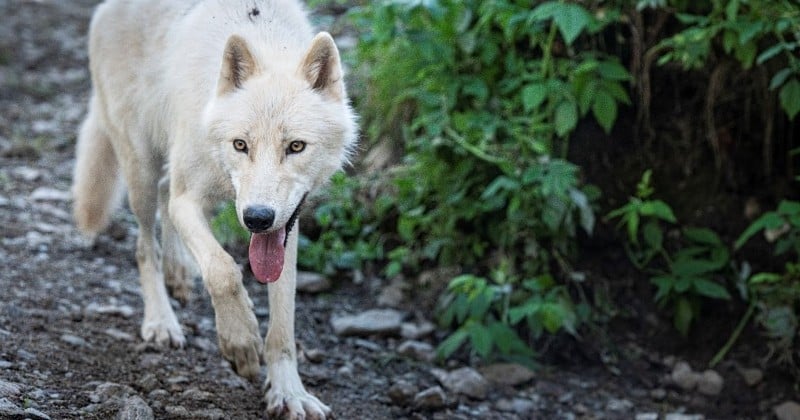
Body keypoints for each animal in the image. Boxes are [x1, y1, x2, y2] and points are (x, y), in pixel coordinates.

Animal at [72, 0, 360, 416]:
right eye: (240, 144)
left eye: (296, 147)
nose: (257, 218)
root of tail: (104, 8)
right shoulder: (189, 200)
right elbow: (223, 270)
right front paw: (240, 343)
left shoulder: (286, 225)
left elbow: (283, 323)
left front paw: (290, 393)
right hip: (140, 169)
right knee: (145, 245)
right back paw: (161, 321)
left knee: (165, 201)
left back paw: (178, 273)